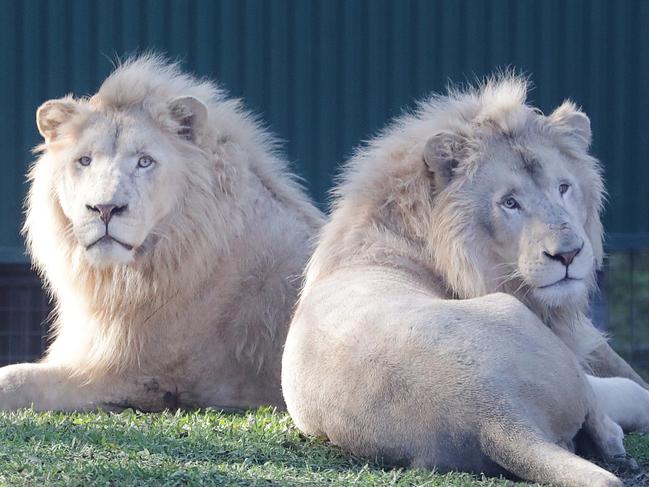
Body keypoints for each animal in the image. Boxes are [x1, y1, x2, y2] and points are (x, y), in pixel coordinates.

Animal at [284, 77, 648, 487]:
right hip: (514, 316)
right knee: (605, 426)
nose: (569, 254)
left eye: (563, 188)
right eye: (509, 202)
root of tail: (495, 416)